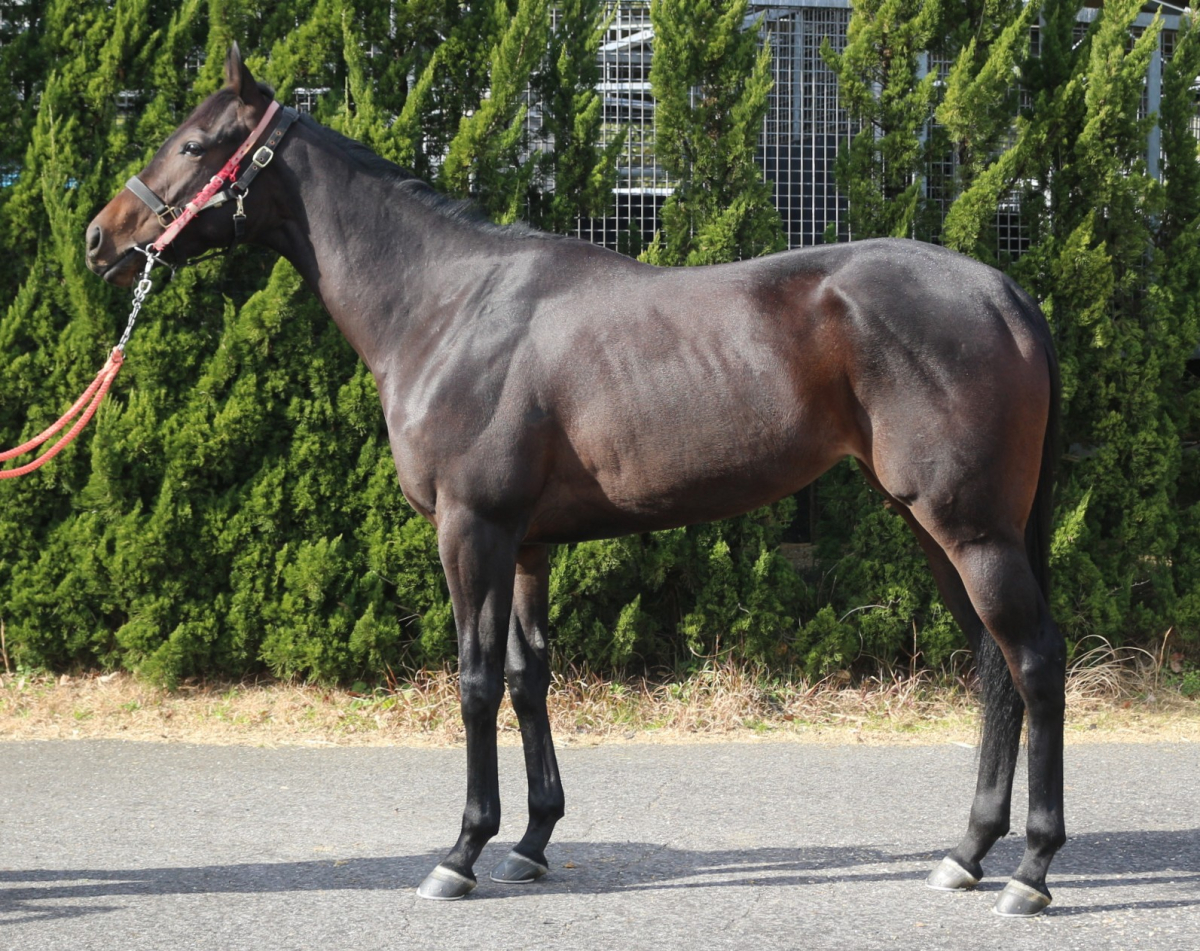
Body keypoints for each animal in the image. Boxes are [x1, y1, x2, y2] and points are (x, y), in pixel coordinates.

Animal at [85, 45, 1065, 917]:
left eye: (196, 143)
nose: (103, 236)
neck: (446, 306)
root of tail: (1003, 292)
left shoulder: (471, 528)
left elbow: (476, 681)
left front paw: (461, 852)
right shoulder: (526, 545)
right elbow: (529, 677)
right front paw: (530, 842)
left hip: (970, 528)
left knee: (1034, 661)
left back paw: (1031, 871)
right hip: (937, 529)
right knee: (994, 669)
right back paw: (967, 852)